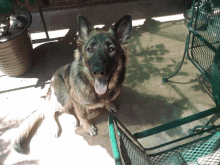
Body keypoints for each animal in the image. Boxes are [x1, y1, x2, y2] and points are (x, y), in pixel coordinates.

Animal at [11, 14, 132, 155]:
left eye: (111, 49)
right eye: (90, 49)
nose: (98, 72)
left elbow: (105, 102)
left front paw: (108, 104)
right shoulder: (77, 101)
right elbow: (83, 115)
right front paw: (88, 127)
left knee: (64, 110)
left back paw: (72, 118)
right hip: (64, 96)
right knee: (50, 110)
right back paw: (55, 125)